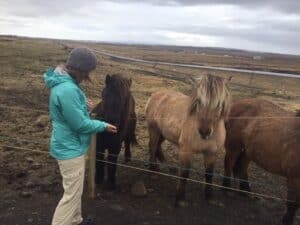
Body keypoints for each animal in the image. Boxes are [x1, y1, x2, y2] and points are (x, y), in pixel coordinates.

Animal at [146, 74, 231, 206]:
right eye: (199, 101)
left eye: (219, 103)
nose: (204, 132)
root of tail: (156, 94)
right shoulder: (186, 151)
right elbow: (185, 173)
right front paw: (180, 199)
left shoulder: (211, 153)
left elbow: (209, 175)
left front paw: (209, 197)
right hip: (154, 130)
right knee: (153, 147)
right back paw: (153, 171)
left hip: (163, 134)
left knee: (157, 147)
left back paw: (167, 167)